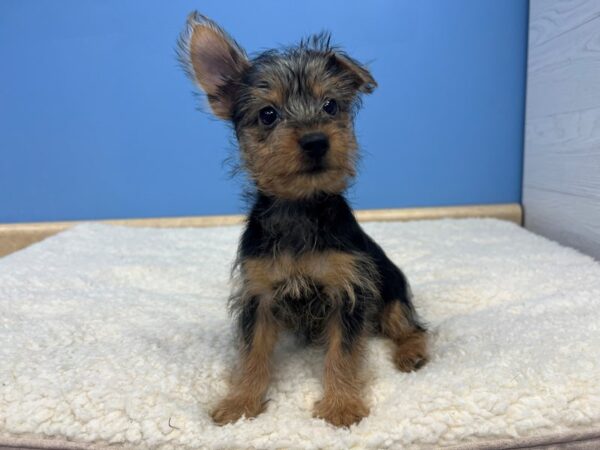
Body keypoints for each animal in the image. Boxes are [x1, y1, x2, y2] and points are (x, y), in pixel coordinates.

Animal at [178, 12, 426, 428]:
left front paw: (341, 406)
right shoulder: (259, 294)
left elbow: (342, 352)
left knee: (407, 323)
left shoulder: (348, 290)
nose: (315, 141)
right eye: (268, 114)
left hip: (390, 286)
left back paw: (412, 352)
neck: (300, 208)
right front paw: (240, 403)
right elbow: (252, 353)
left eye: (330, 106)